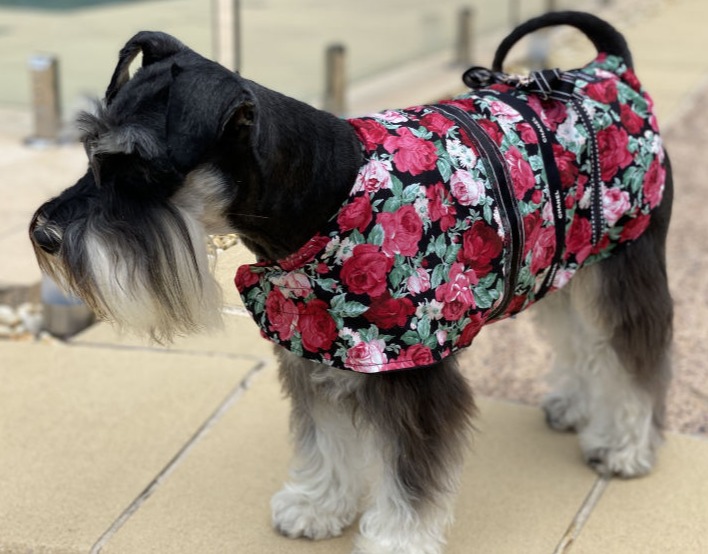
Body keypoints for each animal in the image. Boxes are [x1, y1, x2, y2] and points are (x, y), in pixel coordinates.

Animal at [31, 9, 676, 552]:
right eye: (90, 150)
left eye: (138, 168)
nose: (43, 235)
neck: (326, 191)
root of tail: (610, 67)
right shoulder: (317, 345)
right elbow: (326, 441)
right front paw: (317, 508)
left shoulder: (414, 375)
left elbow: (409, 477)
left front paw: (396, 541)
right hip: (559, 263)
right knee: (581, 339)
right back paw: (576, 405)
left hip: (624, 261)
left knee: (634, 352)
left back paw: (623, 443)